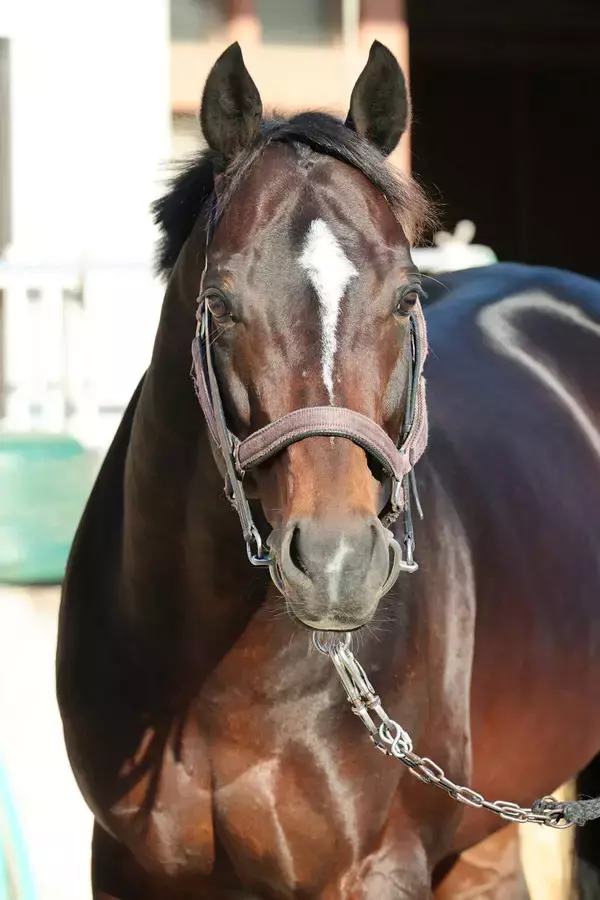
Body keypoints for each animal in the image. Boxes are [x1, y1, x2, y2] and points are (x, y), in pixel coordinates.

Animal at [56, 41, 600, 899]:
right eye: (222, 303)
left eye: (406, 295)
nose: (337, 564)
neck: (212, 680)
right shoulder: (122, 864)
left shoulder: (373, 869)